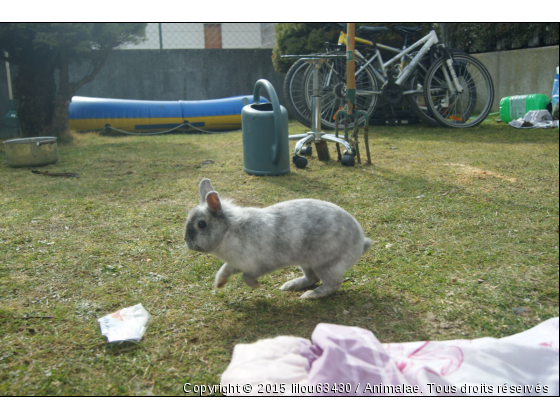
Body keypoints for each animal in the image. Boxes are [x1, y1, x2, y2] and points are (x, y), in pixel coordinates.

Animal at [184, 177, 374, 298]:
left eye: (201, 224)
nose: (187, 241)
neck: (228, 231)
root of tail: (360, 244)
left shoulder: (260, 266)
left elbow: (247, 277)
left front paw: (257, 286)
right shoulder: (235, 263)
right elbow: (224, 269)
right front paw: (218, 284)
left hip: (325, 264)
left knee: (333, 284)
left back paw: (310, 295)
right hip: (306, 263)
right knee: (312, 278)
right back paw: (290, 286)